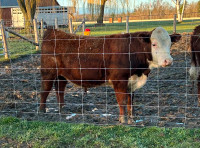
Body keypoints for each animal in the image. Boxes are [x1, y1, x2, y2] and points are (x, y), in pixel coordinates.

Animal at [39, 27, 180, 123]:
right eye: (154, 44)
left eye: (170, 44)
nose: (168, 61)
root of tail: (53, 31)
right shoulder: (119, 80)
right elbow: (122, 100)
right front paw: (123, 120)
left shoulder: (131, 82)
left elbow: (130, 101)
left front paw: (131, 118)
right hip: (48, 73)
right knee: (45, 91)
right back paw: (42, 111)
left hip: (61, 76)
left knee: (60, 90)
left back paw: (62, 109)